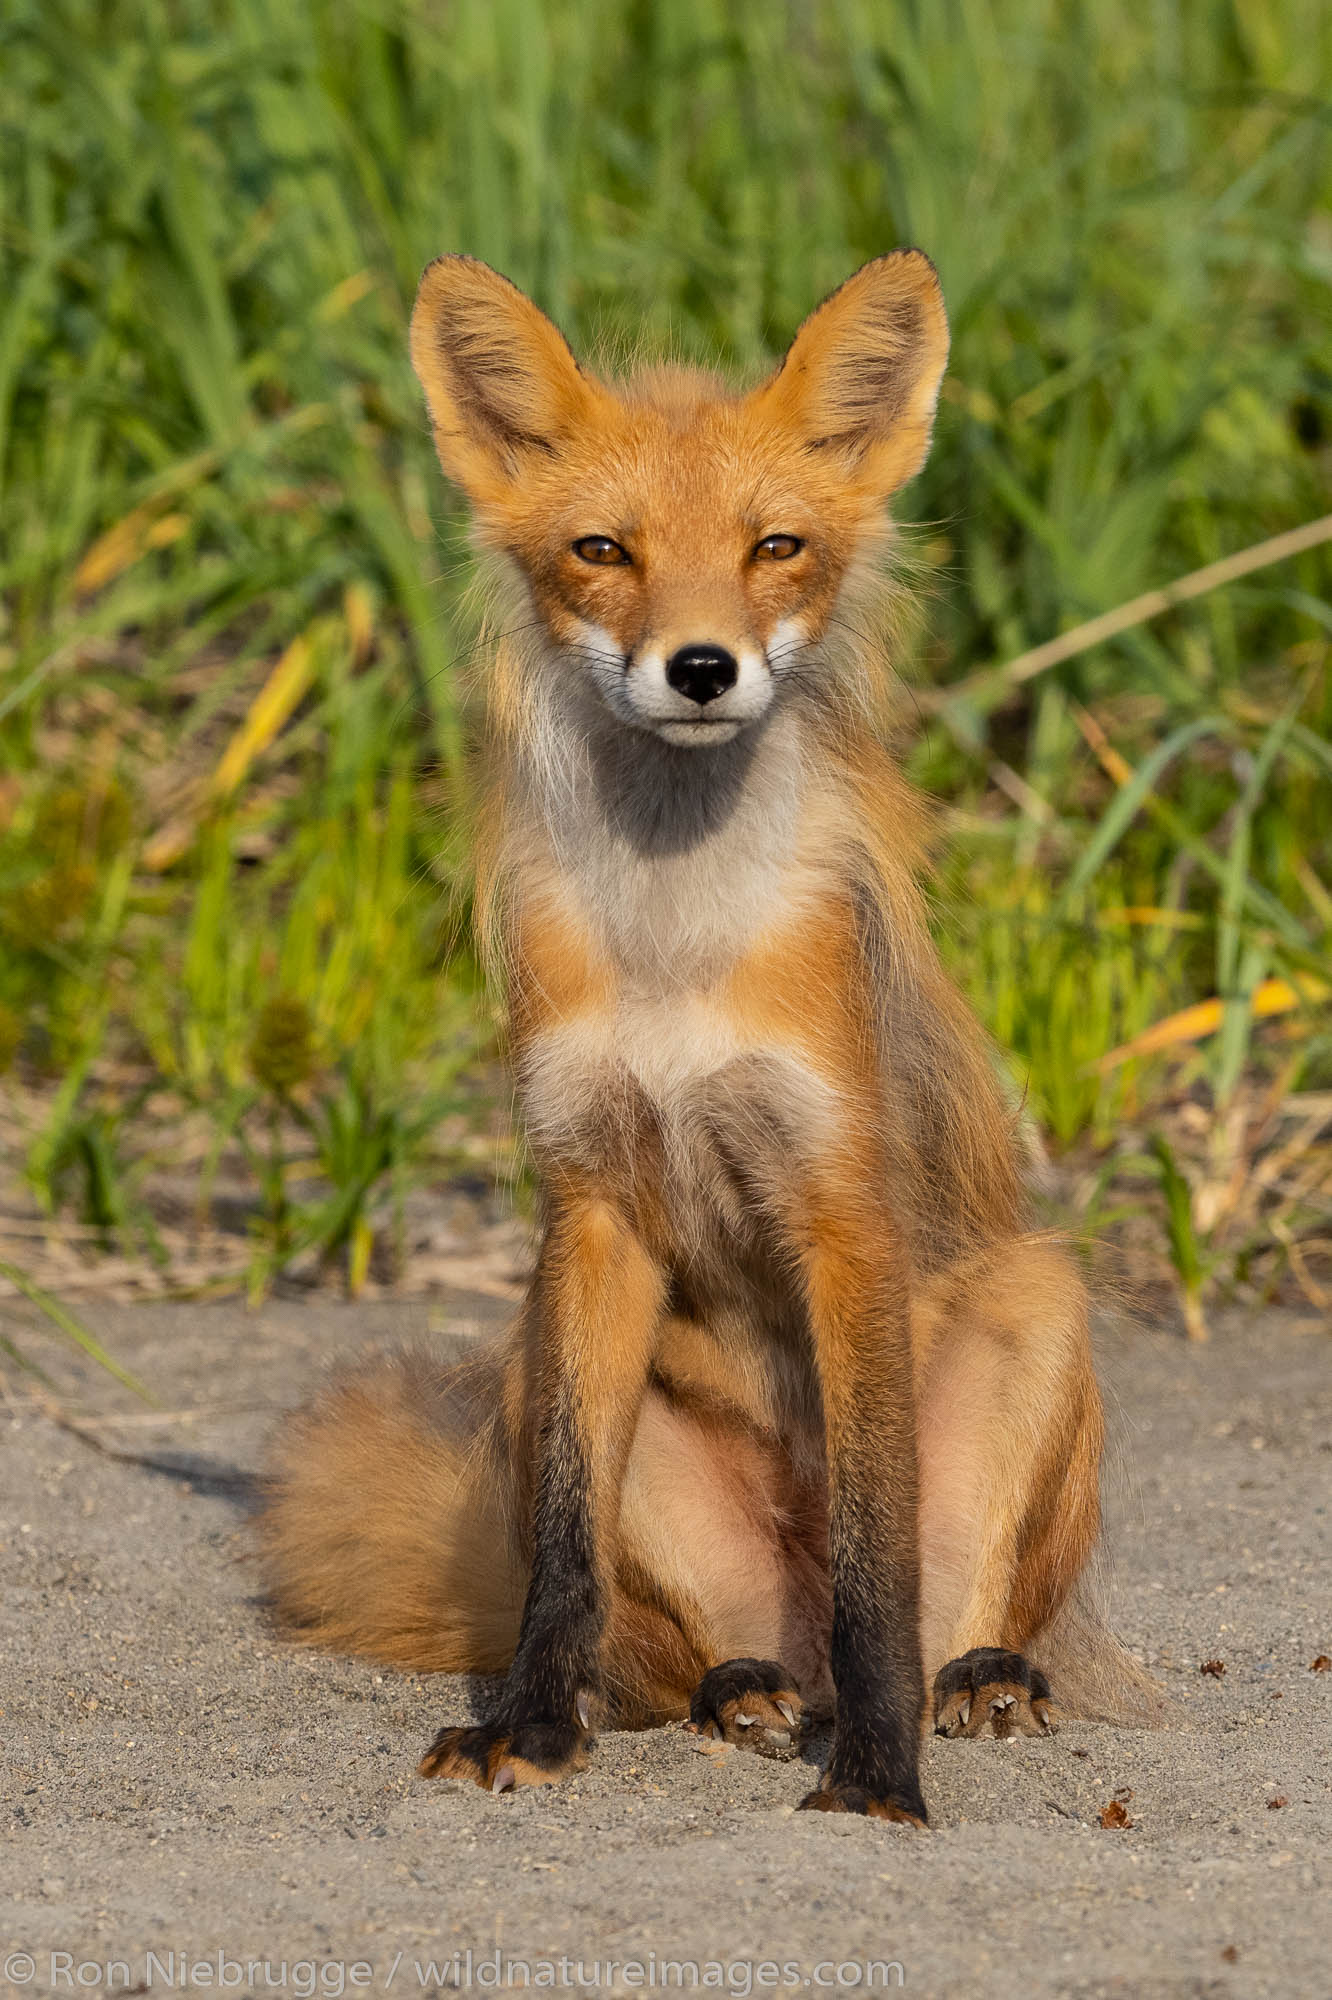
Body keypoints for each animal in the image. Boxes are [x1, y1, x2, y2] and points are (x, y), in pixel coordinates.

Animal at [256, 242, 1152, 1824]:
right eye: (603, 551)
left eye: (774, 547)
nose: (700, 668)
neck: (676, 950)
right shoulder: (589, 1204)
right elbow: (560, 1556)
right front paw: (532, 1727)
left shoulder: (842, 1206)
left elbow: (876, 1555)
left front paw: (877, 1776)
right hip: (530, 1366)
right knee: (703, 1645)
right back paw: (741, 1688)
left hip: (1037, 1298)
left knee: (932, 1608)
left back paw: (973, 1680)